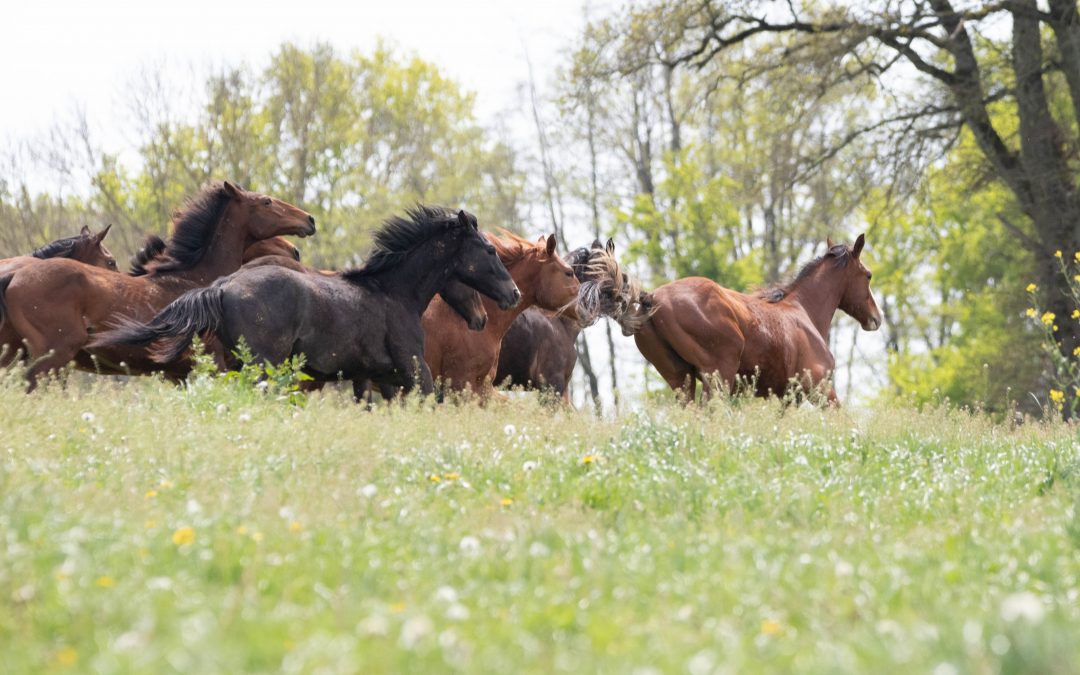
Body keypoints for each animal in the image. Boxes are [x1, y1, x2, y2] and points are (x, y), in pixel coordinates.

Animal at [0, 180, 315, 388]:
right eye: (266, 201)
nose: (309, 220)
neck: (195, 280)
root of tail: (14, 276)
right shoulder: (210, 367)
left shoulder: (177, 374)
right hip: (53, 356)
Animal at [90, 205, 520, 395]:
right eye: (489, 251)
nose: (512, 294)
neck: (393, 294)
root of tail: (223, 286)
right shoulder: (414, 368)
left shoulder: (372, 375)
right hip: (263, 365)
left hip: (237, 363)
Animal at [630, 234, 876, 401]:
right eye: (868, 275)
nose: (876, 317)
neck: (803, 312)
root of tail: (652, 297)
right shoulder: (820, 388)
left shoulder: (785, 397)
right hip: (719, 377)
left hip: (680, 379)